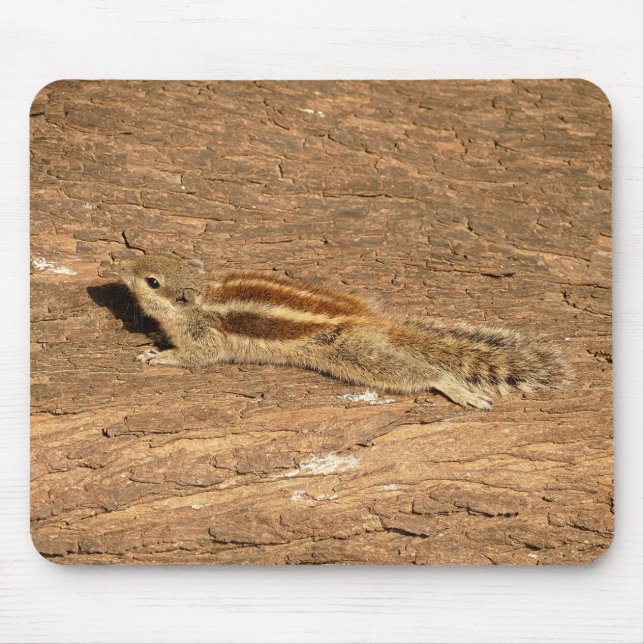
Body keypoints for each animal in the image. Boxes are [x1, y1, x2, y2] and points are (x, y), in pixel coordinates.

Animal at [116, 254, 572, 410]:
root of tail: (374, 321)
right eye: (149, 253)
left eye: (152, 281)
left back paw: (454, 387)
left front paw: (158, 356)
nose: (117, 263)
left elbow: (197, 357)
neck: (204, 296)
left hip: (352, 354)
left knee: (421, 373)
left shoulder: (205, 337)